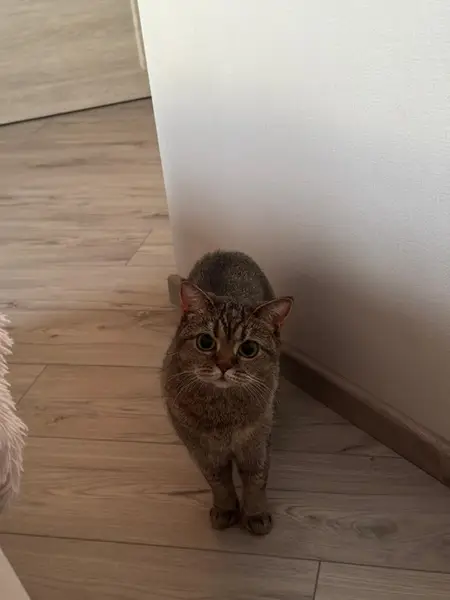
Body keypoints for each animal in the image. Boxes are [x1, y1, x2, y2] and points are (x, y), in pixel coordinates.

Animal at [161, 250, 293, 535]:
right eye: (205, 342)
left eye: (249, 349)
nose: (223, 365)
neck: (223, 414)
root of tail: (225, 251)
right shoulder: (203, 453)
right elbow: (219, 484)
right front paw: (226, 510)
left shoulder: (255, 447)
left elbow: (256, 483)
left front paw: (255, 514)